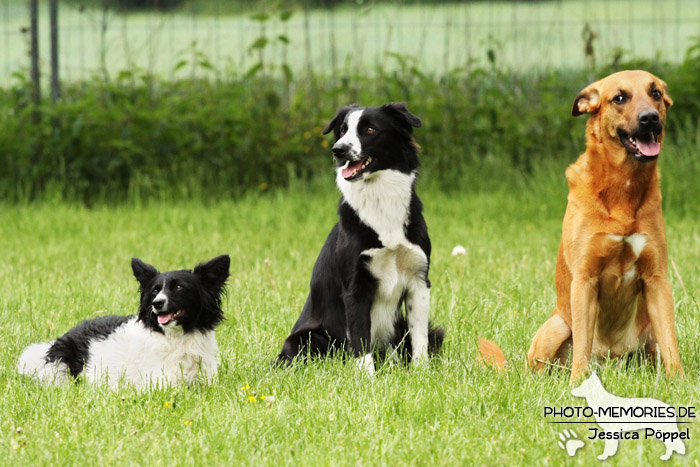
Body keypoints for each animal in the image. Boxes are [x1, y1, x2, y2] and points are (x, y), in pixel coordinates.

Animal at [278, 104, 442, 374]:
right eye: (343, 130)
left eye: (370, 129)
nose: (338, 150)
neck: (381, 201)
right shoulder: (356, 287)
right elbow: (360, 339)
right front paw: (368, 378)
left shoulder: (419, 280)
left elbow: (419, 338)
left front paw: (422, 373)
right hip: (308, 338)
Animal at [482, 69, 684, 384]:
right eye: (620, 97)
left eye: (656, 93)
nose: (650, 118)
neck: (622, 191)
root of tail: (611, 361)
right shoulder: (585, 280)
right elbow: (582, 347)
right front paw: (578, 382)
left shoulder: (657, 279)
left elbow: (671, 342)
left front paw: (679, 381)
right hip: (556, 327)